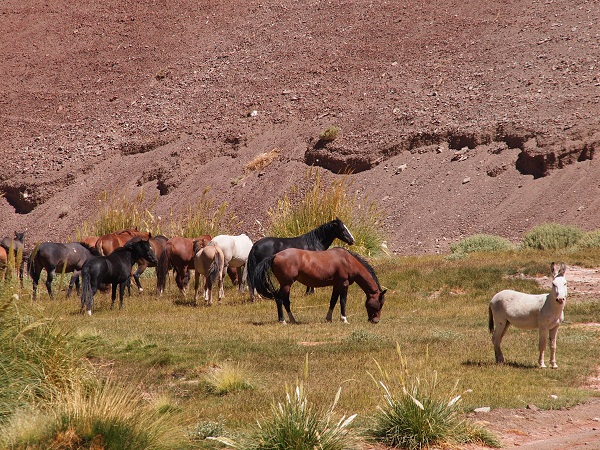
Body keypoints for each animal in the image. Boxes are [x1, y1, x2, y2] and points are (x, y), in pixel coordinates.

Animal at [247, 246, 384, 324]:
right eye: (379, 304)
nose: (376, 321)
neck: (347, 260)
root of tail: (275, 255)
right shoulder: (344, 284)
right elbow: (343, 301)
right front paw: (344, 319)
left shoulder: (336, 285)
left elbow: (333, 301)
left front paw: (328, 318)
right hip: (286, 284)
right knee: (281, 300)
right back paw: (283, 320)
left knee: (284, 300)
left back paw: (292, 320)